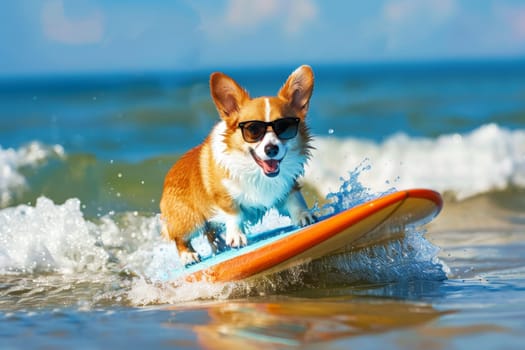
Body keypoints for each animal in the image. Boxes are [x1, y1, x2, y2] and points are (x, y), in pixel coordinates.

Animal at [160, 65, 316, 266]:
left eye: (284, 127)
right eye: (253, 130)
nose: (271, 149)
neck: (257, 172)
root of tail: (168, 175)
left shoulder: (289, 185)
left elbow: (295, 198)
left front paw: (303, 214)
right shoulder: (223, 197)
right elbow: (233, 213)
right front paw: (236, 236)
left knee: (211, 233)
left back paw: (220, 248)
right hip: (190, 220)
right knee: (180, 238)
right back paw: (189, 255)